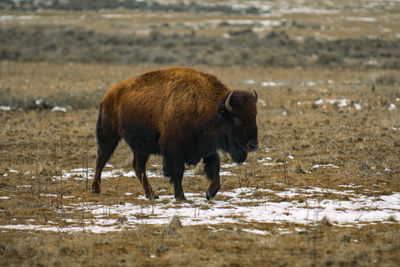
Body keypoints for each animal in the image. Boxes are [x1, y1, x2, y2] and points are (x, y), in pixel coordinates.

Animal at [92, 67, 258, 201]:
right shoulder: (174, 150)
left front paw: (209, 193)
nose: (253, 145)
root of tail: (108, 96)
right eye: (237, 119)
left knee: (138, 168)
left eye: (255, 116)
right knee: (102, 159)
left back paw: (152, 195)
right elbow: (177, 172)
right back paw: (96, 189)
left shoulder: (206, 147)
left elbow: (215, 169)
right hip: (109, 135)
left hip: (140, 147)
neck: (209, 108)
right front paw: (181, 197)